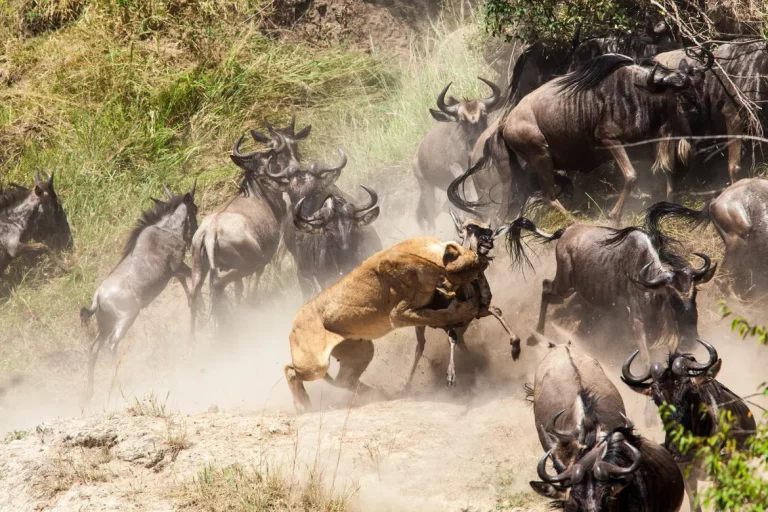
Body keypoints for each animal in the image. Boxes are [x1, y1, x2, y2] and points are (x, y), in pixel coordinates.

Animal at [285, 236, 486, 413]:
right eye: (470, 268)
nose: (483, 266)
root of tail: (293, 322)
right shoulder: (398, 314)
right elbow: (437, 316)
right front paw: (466, 309)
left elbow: (436, 315)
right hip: (315, 364)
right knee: (290, 369)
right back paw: (302, 405)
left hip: (361, 351)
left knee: (345, 380)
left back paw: (380, 394)